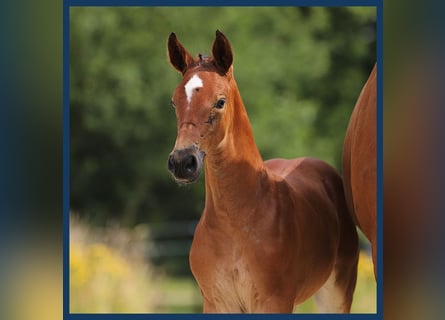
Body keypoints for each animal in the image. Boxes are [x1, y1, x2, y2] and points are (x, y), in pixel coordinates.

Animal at [166, 30, 358, 312]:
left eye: (220, 101)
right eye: (174, 102)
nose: (182, 161)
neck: (235, 223)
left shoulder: (274, 301)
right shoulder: (215, 302)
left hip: (336, 291)